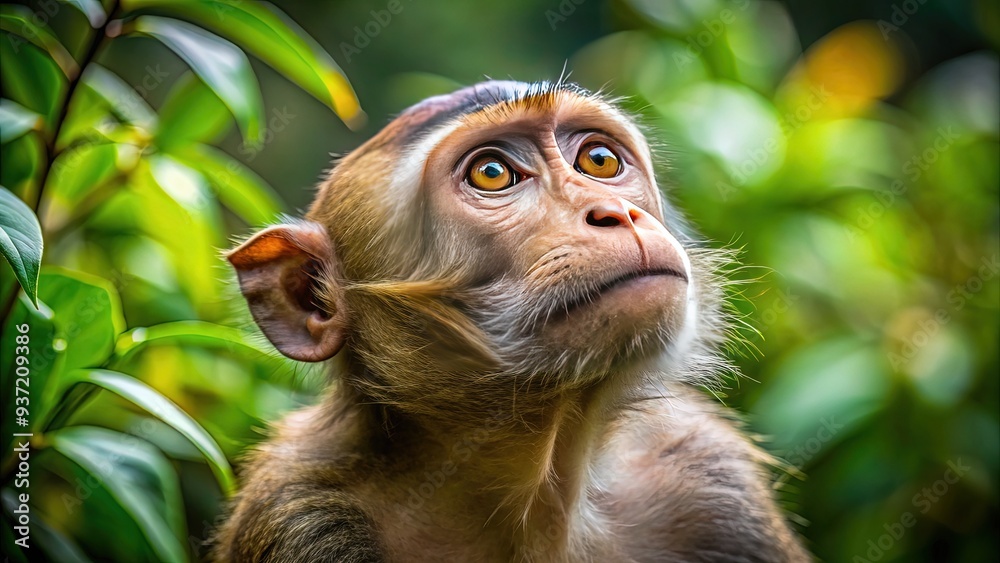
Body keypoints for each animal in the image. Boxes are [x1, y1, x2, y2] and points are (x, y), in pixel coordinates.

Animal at [211, 80, 811, 563]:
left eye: (598, 159)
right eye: (493, 173)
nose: (616, 213)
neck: (540, 495)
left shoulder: (710, 476)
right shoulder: (302, 517)